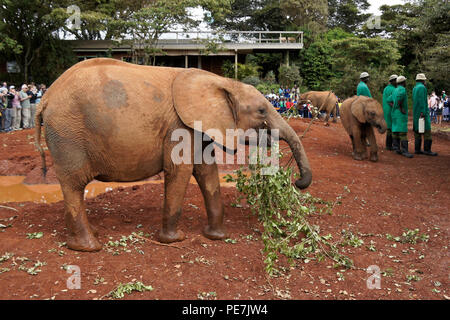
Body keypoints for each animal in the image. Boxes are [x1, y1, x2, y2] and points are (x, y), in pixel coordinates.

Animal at [35, 58, 312, 251]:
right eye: (262, 110)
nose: (297, 182)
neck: (222, 81)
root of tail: (45, 98)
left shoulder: (198, 127)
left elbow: (207, 172)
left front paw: (217, 237)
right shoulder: (179, 126)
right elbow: (181, 171)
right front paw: (173, 240)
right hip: (68, 133)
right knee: (74, 184)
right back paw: (89, 247)